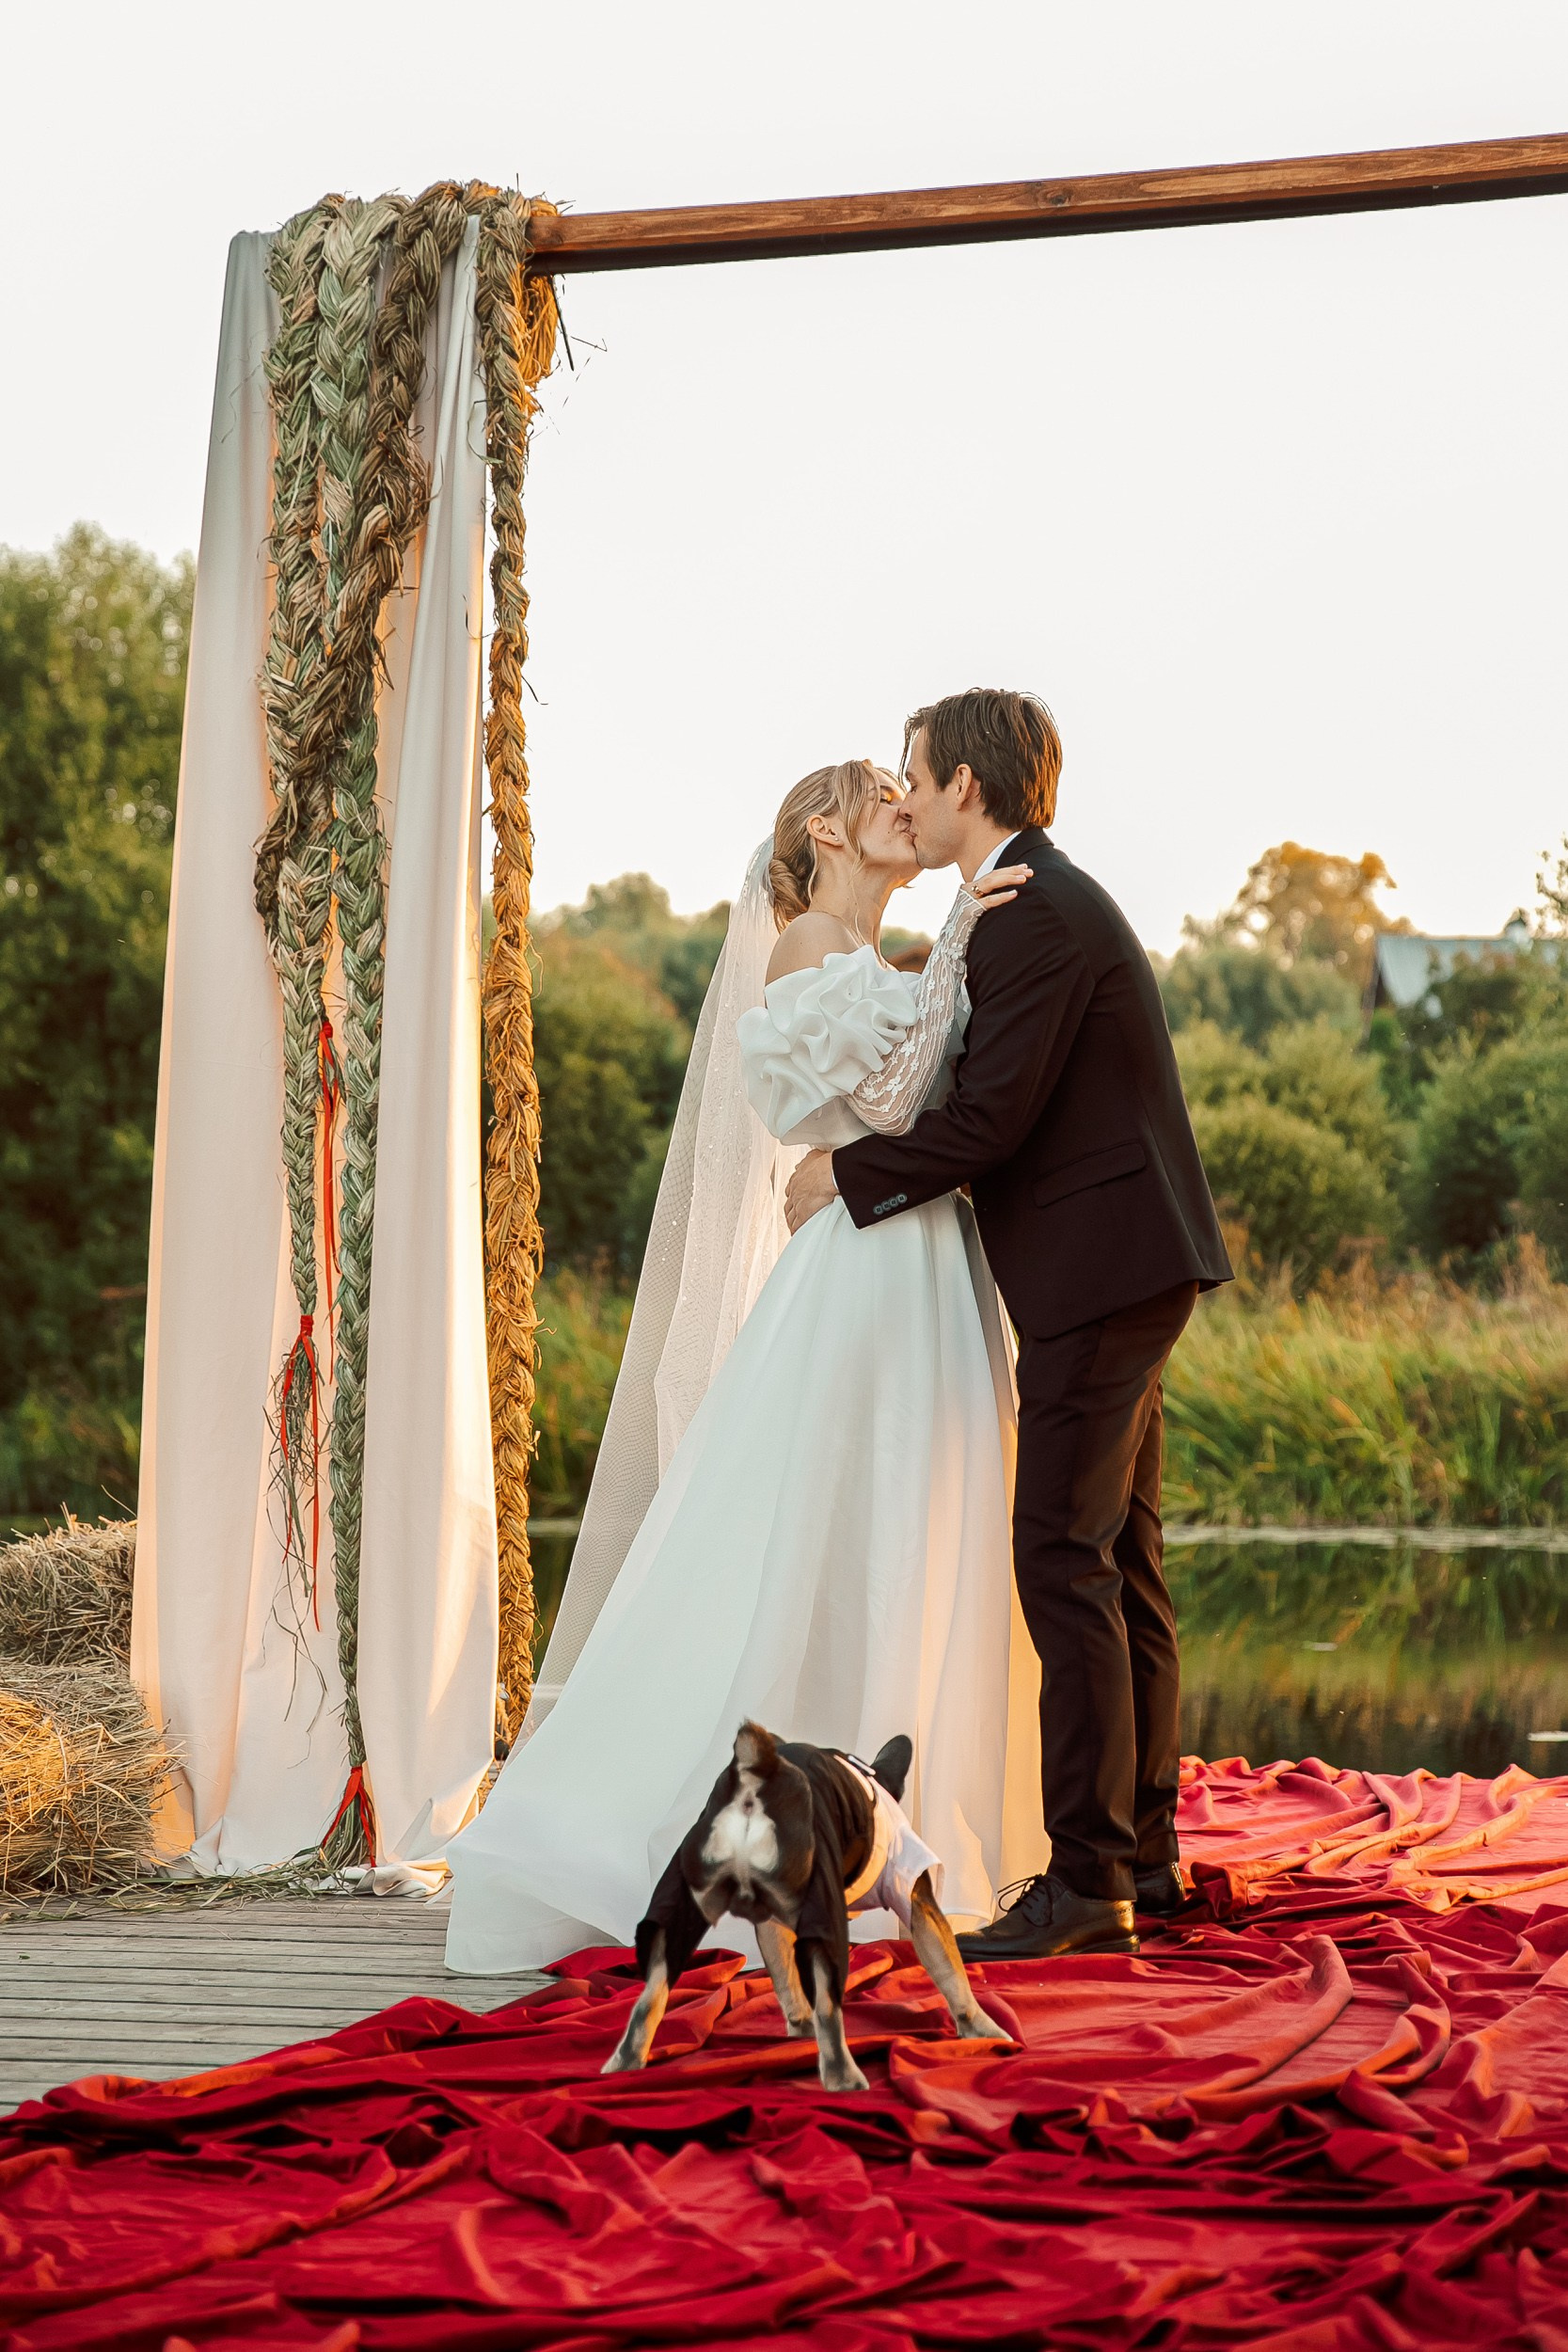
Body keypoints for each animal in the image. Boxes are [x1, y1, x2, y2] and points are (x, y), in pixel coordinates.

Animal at [603, 1720, 1010, 2092]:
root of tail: (757, 1778)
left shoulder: (770, 1919)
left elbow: (786, 1980)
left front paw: (799, 2029)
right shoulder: (917, 1898)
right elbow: (951, 1970)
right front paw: (984, 2030)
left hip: (682, 1906)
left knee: (651, 1993)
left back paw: (624, 2064)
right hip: (825, 1912)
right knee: (830, 2006)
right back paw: (843, 2077)